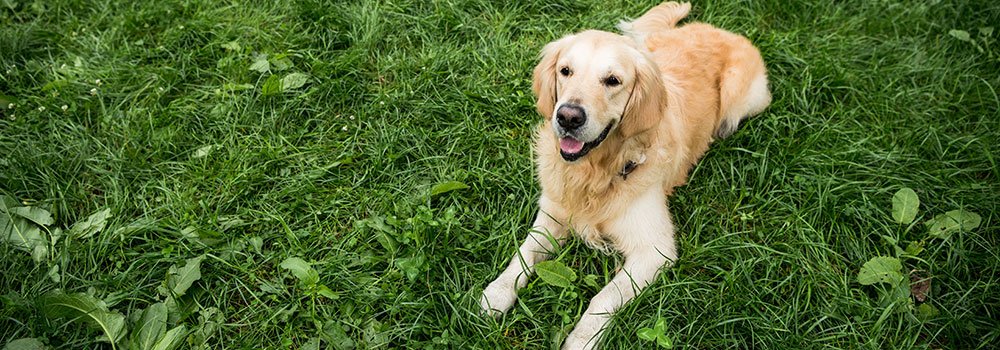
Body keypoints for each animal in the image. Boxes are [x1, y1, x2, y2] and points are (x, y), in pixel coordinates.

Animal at [480, 1, 768, 348]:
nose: (568, 117)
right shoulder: (553, 212)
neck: (595, 172)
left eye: (613, 80)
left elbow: (602, 298)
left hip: (744, 98)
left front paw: (581, 341)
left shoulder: (654, 251)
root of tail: (719, 30)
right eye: (565, 71)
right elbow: (523, 253)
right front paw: (498, 292)